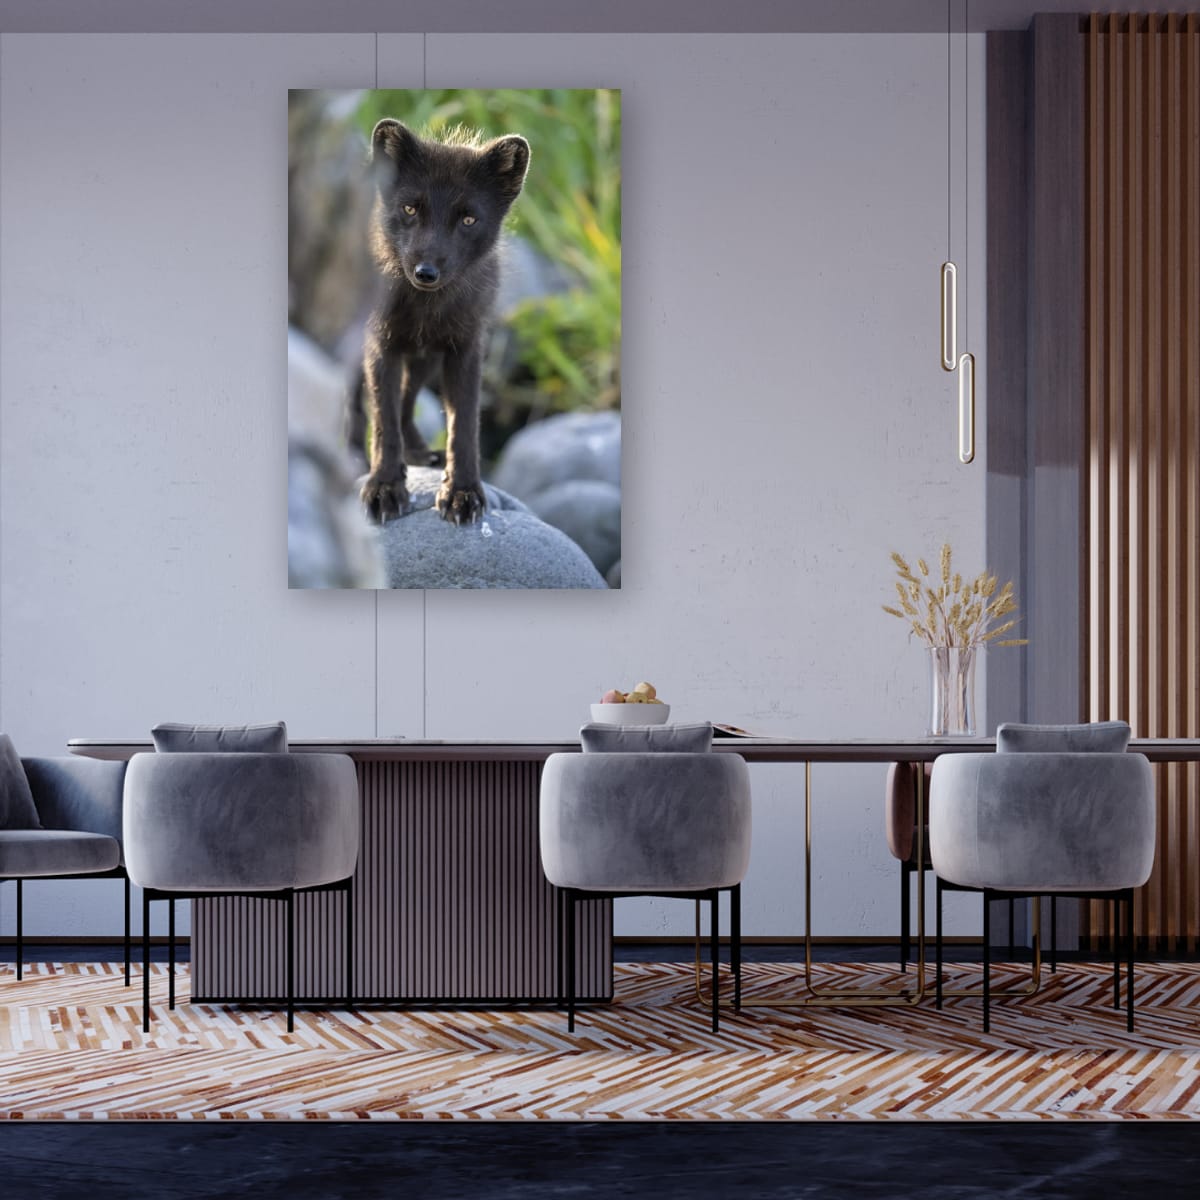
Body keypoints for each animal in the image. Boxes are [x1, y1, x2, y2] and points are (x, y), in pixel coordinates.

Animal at [357, 119, 530, 526]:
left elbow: (463, 424)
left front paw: (462, 492)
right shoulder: (380, 344)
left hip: (425, 359)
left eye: (468, 219)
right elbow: (383, 418)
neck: (425, 306)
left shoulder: (465, 348)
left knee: (407, 401)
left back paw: (420, 455)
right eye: (410, 208)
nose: (426, 272)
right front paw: (384, 486)